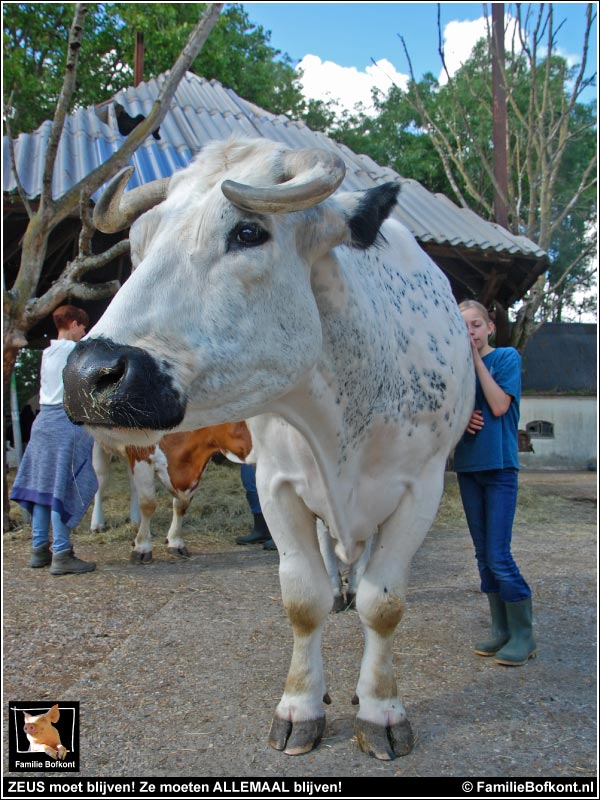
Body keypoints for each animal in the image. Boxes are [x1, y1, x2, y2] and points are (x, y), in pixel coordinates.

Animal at [90, 422, 252, 560]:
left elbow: (181, 506)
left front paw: (175, 542)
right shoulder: (141, 454)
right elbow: (148, 504)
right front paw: (142, 547)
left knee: (132, 482)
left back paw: (135, 522)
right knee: (100, 477)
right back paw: (97, 524)